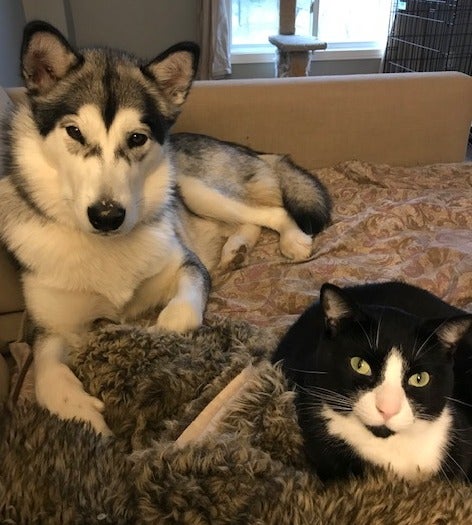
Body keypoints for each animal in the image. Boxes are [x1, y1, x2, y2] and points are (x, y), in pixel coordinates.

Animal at [0, 21, 332, 434]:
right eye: (74, 132)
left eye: (137, 138)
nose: (107, 216)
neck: (105, 245)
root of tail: (241, 148)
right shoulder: (48, 326)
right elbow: (45, 372)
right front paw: (80, 415)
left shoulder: (186, 265)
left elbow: (183, 311)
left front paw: (163, 332)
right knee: (245, 222)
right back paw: (236, 250)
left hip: (194, 186)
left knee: (272, 213)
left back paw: (292, 240)